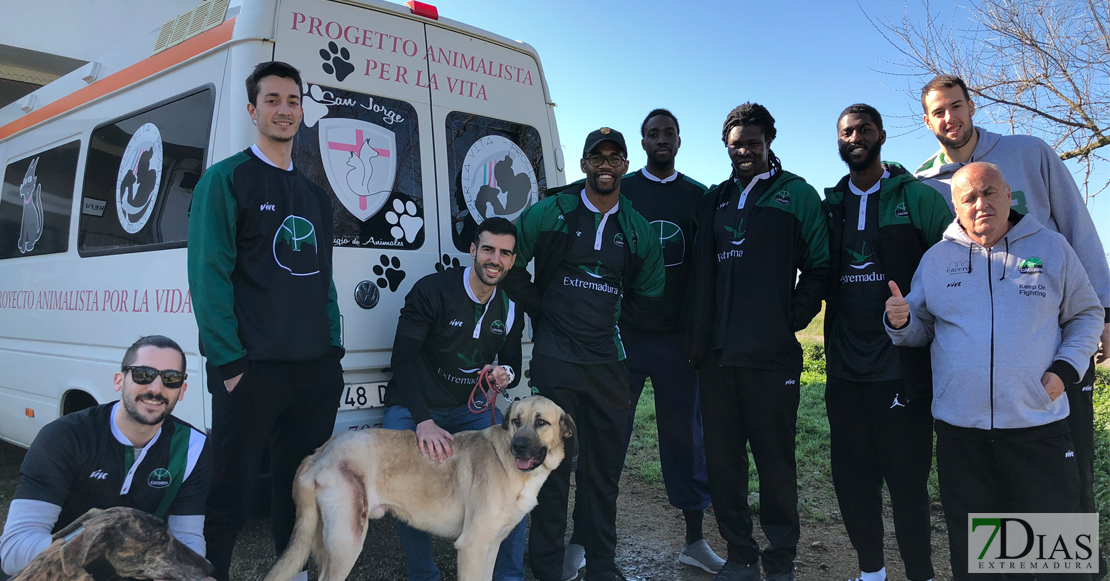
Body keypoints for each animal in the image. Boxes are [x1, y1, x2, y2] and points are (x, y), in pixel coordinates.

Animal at [259, 395, 572, 581]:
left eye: (541, 422)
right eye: (517, 421)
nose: (518, 447)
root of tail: (320, 452)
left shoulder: (491, 545)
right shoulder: (472, 546)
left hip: (327, 542)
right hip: (347, 541)